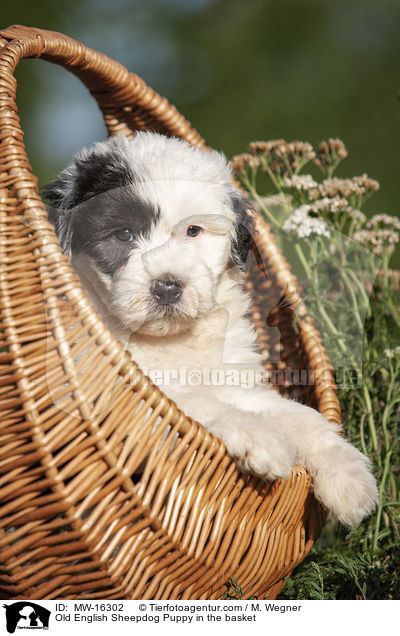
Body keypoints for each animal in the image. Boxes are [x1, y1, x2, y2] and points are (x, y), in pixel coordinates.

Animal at [43, 130, 378, 528]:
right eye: (123, 234)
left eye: (193, 231)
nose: (167, 286)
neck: (171, 340)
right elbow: (190, 403)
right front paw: (261, 437)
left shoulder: (238, 382)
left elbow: (302, 417)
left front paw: (350, 479)